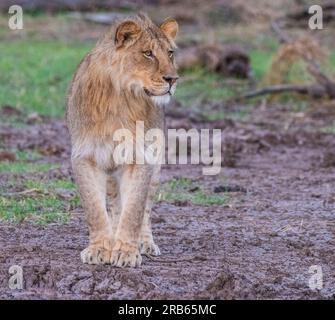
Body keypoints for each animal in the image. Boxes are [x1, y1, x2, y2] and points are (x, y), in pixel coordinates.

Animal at [66, 13, 180, 268]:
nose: (173, 79)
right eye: (147, 53)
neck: (122, 96)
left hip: (156, 163)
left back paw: (144, 243)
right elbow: (95, 209)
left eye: (170, 53)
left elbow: (134, 210)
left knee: (144, 207)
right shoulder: (85, 156)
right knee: (114, 203)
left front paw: (127, 252)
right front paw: (99, 249)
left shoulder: (141, 157)